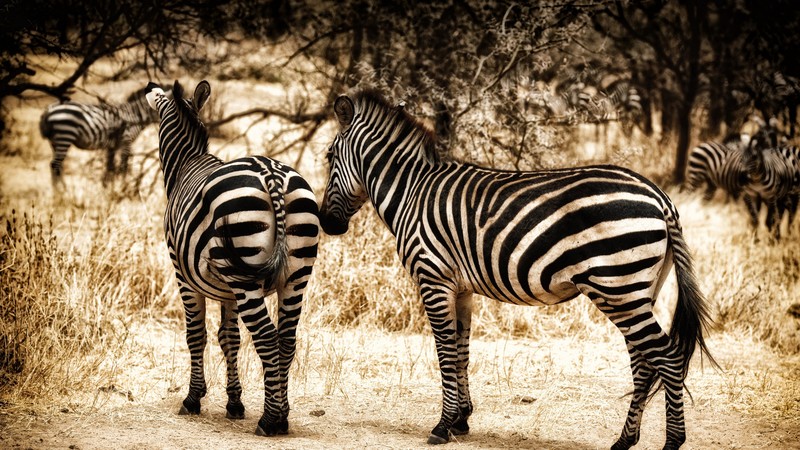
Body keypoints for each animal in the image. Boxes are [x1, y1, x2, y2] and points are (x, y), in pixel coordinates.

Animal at [144, 80, 320, 436]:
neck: (186, 164)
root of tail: (271, 175)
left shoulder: (182, 274)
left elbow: (196, 335)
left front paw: (193, 399)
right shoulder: (228, 291)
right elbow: (229, 339)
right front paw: (234, 402)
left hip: (244, 274)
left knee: (266, 337)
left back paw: (270, 419)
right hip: (295, 273)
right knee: (286, 340)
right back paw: (283, 414)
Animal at [319, 90, 717, 450]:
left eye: (328, 157)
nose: (326, 223)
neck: (412, 191)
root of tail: (659, 197)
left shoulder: (434, 278)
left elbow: (445, 351)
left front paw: (442, 425)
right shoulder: (461, 288)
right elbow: (462, 352)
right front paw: (462, 419)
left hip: (618, 287)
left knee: (667, 357)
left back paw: (672, 441)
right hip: (636, 291)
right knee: (644, 362)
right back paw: (624, 440)